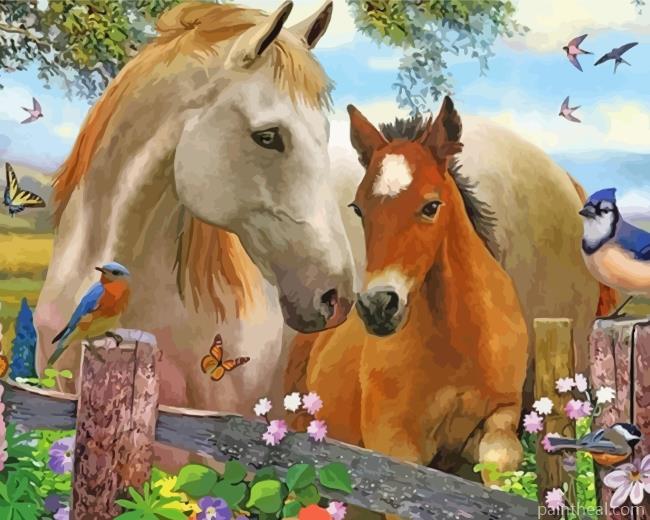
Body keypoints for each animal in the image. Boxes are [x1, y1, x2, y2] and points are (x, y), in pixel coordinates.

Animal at [285, 98, 616, 478]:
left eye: (431, 206)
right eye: (358, 208)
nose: (378, 306)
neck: (457, 341)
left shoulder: (499, 418)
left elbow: (498, 461)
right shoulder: (394, 442)